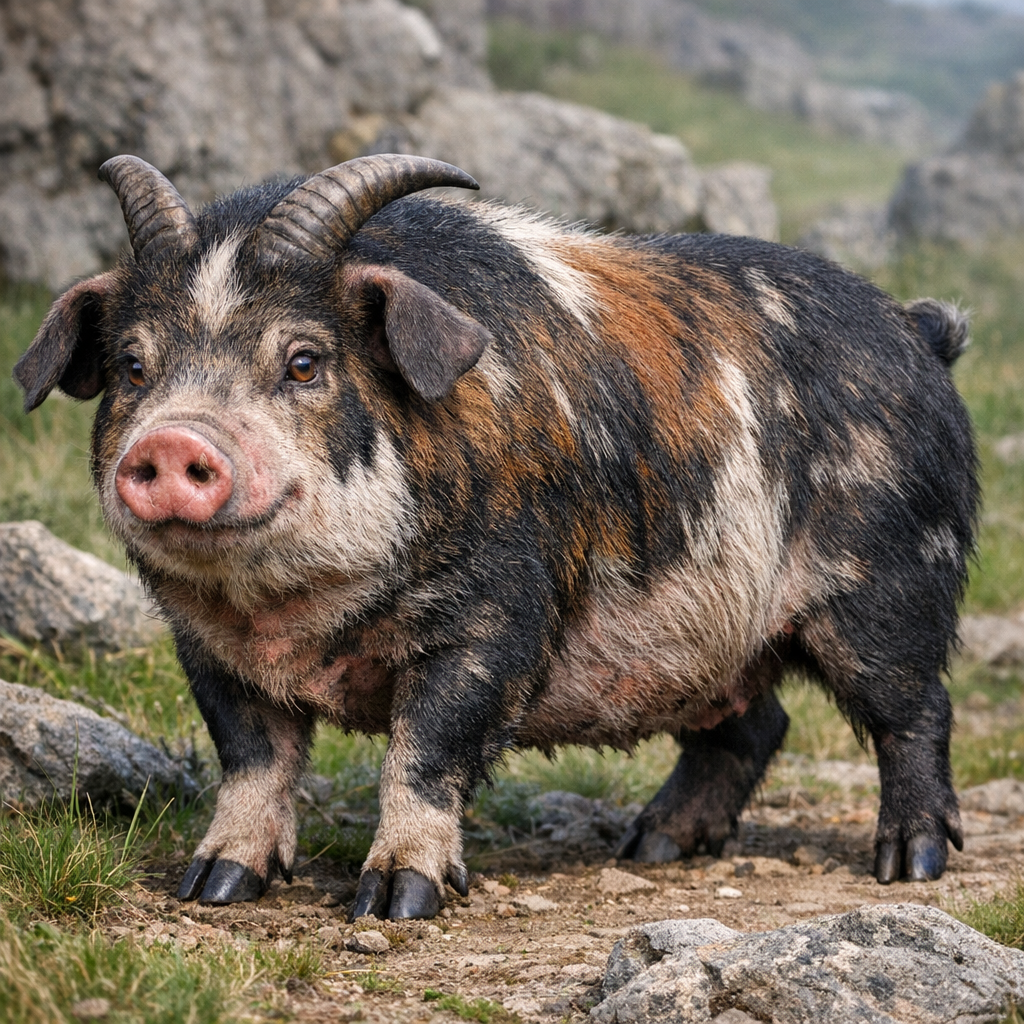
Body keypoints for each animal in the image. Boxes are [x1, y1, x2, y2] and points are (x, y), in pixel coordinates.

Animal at [14, 153, 977, 919]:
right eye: (133, 366)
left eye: (305, 362)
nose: (173, 441)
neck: (296, 615)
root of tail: (919, 330)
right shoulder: (206, 647)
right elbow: (251, 760)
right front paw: (211, 887)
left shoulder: (496, 614)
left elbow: (424, 752)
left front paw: (395, 903)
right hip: (730, 638)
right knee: (752, 725)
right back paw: (651, 846)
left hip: (889, 577)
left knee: (915, 709)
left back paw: (907, 867)